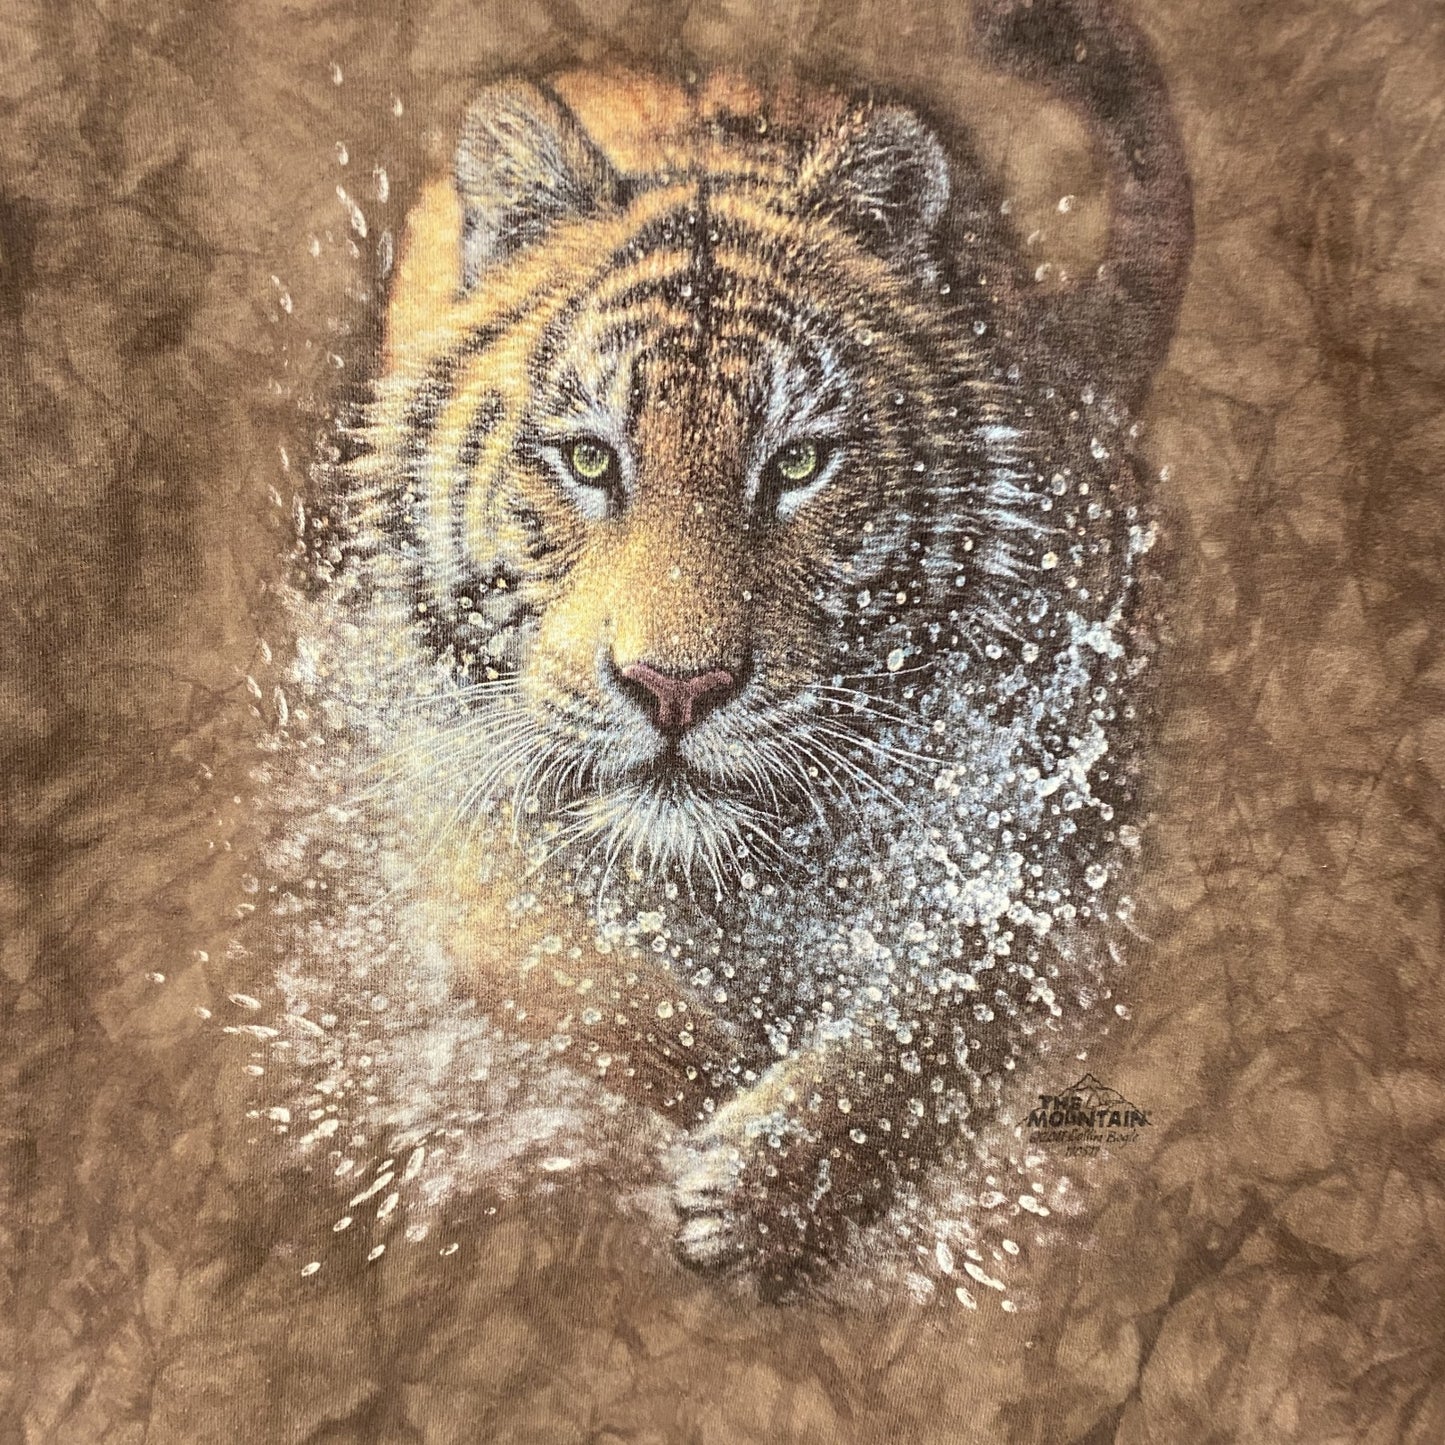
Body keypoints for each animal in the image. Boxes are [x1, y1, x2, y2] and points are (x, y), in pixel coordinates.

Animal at [304, 0, 1192, 1294]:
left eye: (797, 464)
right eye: (588, 458)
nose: (677, 689)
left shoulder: (1036, 823)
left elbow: (928, 1024)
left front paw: (768, 1190)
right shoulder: (446, 794)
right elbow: (557, 973)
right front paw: (715, 1077)